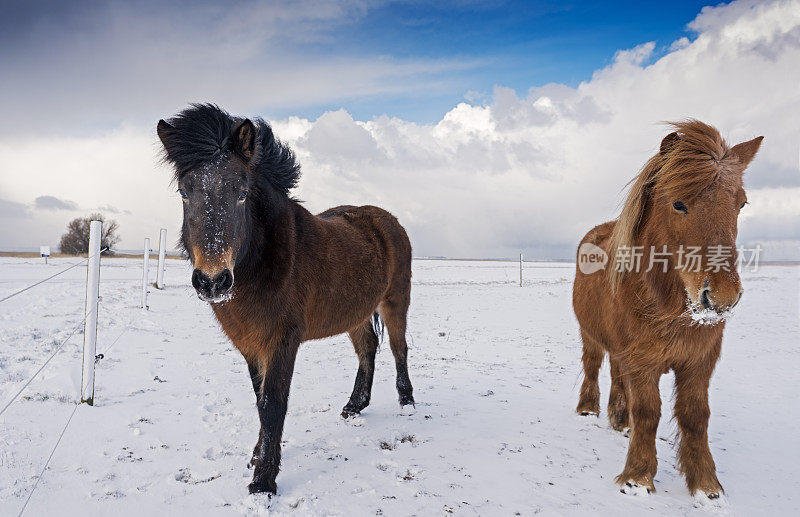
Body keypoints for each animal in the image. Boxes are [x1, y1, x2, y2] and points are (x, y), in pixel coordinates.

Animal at [159, 103, 416, 494]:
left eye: (241, 192)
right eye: (184, 193)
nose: (213, 281)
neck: (265, 263)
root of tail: (387, 221)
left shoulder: (281, 341)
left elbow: (273, 403)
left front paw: (264, 481)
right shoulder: (251, 344)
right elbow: (259, 399)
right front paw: (257, 457)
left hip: (395, 301)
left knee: (399, 347)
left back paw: (407, 402)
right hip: (356, 313)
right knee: (367, 349)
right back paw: (354, 406)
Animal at [576, 119, 764, 498]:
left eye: (741, 204)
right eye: (678, 204)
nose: (722, 296)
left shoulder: (699, 360)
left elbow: (695, 416)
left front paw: (706, 485)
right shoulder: (642, 360)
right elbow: (648, 412)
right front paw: (637, 477)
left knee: (617, 376)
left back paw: (621, 421)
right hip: (591, 334)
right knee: (592, 365)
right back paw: (588, 409)